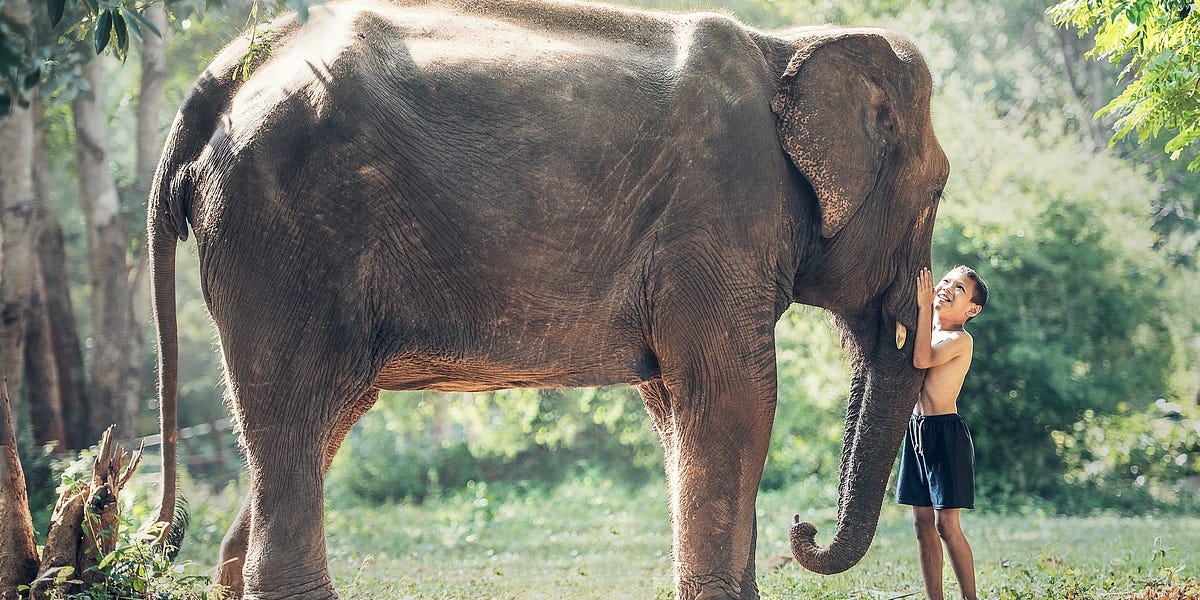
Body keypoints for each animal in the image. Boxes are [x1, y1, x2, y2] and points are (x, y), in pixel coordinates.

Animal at [145, 1, 945, 600]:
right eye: (937, 193)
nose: (803, 531)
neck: (789, 44)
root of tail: (226, 73)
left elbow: (678, 408)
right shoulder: (719, 213)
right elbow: (734, 397)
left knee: (317, 419)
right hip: (284, 236)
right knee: (297, 404)